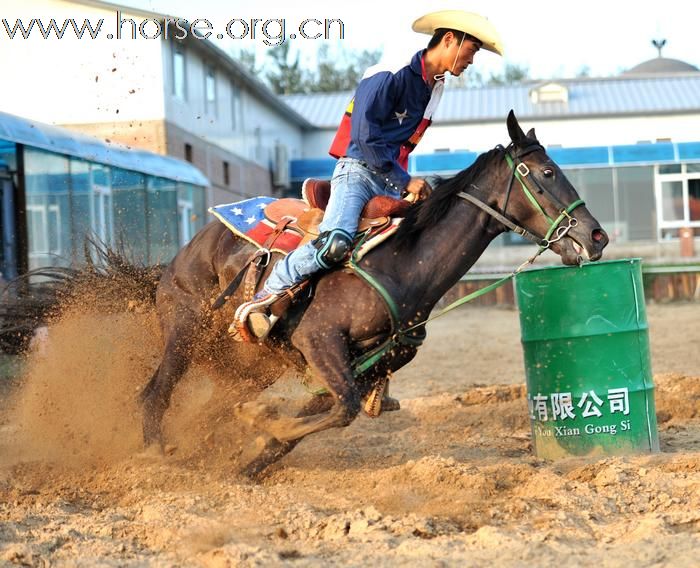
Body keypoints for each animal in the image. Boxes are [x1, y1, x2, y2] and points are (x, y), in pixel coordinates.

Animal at [137, 111, 608, 474]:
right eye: (547, 172)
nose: (597, 235)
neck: (404, 266)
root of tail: (197, 240)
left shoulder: (361, 367)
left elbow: (323, 414)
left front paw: (250, 456)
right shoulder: (319, 341)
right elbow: (340, 410)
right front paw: (262, 423)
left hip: (248, 367)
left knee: (207, 407)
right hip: (185, 329)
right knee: (155, 393)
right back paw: (156, 453)